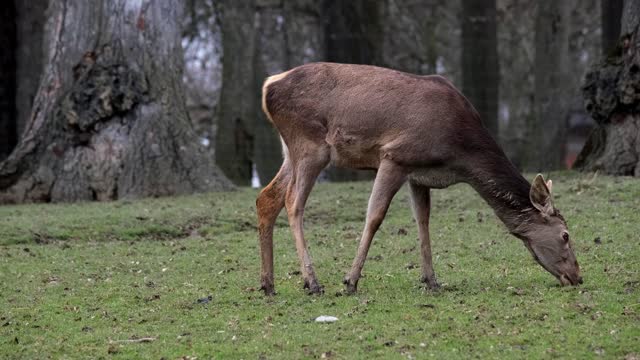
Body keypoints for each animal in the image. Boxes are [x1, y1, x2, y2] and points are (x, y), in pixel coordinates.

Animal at [254, 62, 580, 296]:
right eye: (565, 235)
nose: (577, 276)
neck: (459, 154)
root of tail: (268, 85)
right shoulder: (395, 155)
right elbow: (375, 216)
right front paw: (350, 281)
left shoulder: (419, 174)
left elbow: (423, 220)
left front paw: (432, 281)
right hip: (311, 145)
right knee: (292, 202)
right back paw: (312, 281)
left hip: (290, 151)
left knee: (266, 198)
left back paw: (268, 284)